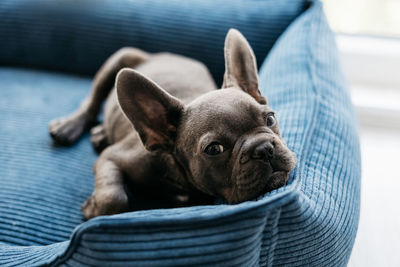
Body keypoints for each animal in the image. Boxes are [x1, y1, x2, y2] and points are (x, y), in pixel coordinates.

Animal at [48, 28, 296, 220]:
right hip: (119, 58)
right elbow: (114, 198)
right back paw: (68, 127)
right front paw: (95, 207)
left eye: (270, 118)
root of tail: (159, 54)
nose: (263, 148)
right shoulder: (111, 157)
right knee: (91, 102)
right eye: (214, 149)